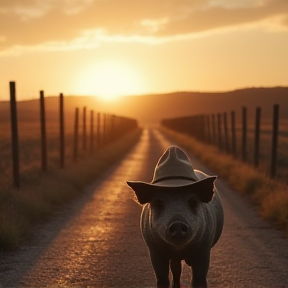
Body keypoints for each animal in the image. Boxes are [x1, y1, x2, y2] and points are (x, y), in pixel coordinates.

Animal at [127, 146, 224, 288]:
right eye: (158, 202)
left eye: (193, 201)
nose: (177, 223)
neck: (179, 250)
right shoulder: (154, 252)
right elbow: (162, 279)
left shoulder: (204, 250)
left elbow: (199, 279)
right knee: (176, 270)